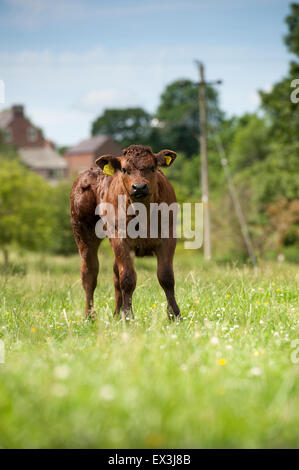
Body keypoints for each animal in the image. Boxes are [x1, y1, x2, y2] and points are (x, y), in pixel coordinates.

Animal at [71, 144, 180, 320]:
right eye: (124, 169)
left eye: (152, 167)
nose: (139, 187)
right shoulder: (120, 238)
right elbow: (128, 278)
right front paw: (128, 317)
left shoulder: (168, 236)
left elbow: (166, 276)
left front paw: (175, 315)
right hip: (83, 232)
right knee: (89, 273)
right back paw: (89, 316)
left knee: (115, 273)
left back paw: (117, 313)